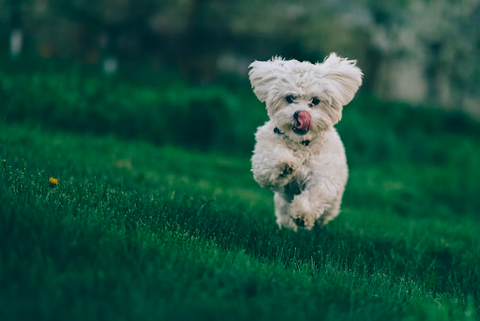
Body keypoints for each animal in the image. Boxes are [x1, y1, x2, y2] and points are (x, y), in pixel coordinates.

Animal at [249, 53, 362, 230]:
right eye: (289, 98)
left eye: (315, 101)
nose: (300, 114)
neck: (301, 144)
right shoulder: (263, 159)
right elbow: (269, 164)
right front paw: (285, 164)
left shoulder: (323, 176)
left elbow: (315, 194)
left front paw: (302, 214)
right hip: (282, 202)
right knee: (284, 213)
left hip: (333, 204)